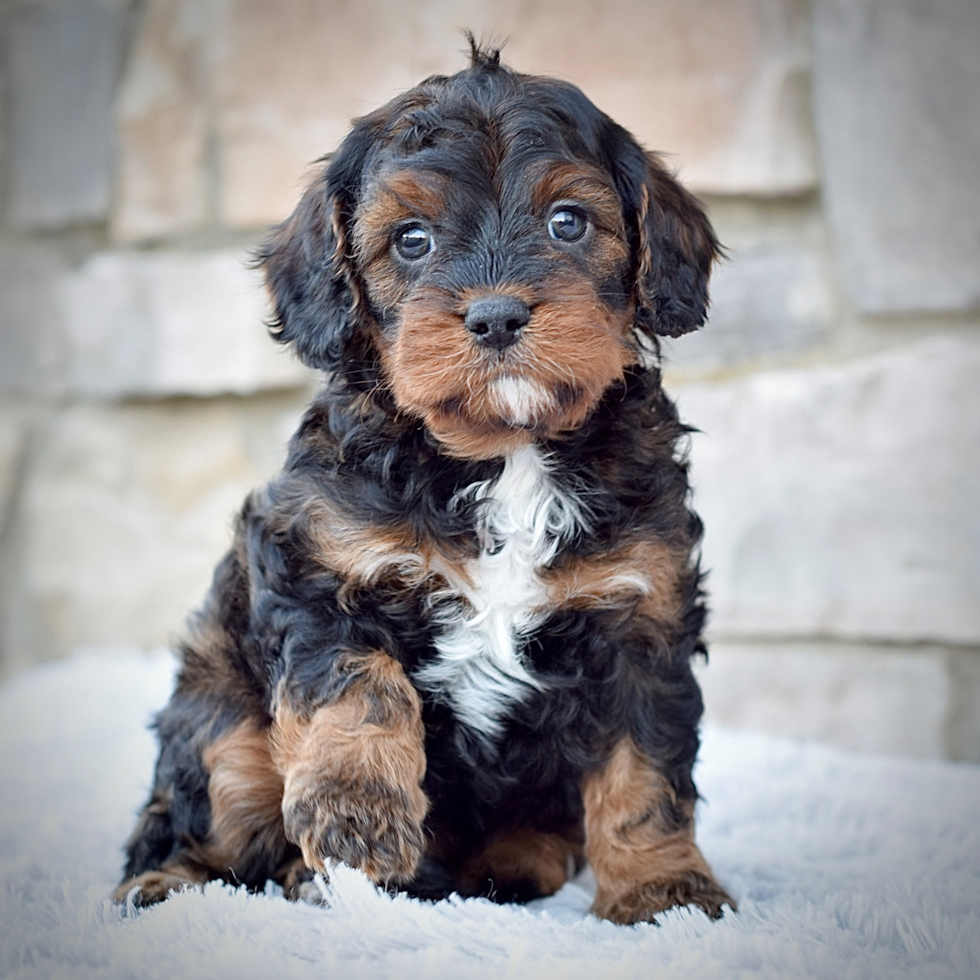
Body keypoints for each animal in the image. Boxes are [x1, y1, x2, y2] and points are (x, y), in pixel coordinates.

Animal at [115, 40, 736, 928]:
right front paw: (356, 820)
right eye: (411, 239)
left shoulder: (642, 615)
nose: (497, 315)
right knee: (209, 805)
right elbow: (356, 691)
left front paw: (664, 892)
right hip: (222, 710)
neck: (505, 457)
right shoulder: (318, 562)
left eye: (568, 221)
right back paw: (178, 883)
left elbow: (644, 767)